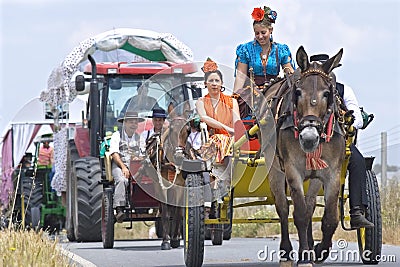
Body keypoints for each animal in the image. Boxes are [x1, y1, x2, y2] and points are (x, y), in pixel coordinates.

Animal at [258, 45, 346, 266]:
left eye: (327, 93)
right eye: (298, 92)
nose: (308, 137)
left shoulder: (331, 173)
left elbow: (329, 218)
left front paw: (319, 251)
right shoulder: (293, 171)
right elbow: (298, 215)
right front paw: (304, 256)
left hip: (313, 178)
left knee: (310, 206)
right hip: (274, 169)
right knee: (282, 209)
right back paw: (286, 252)